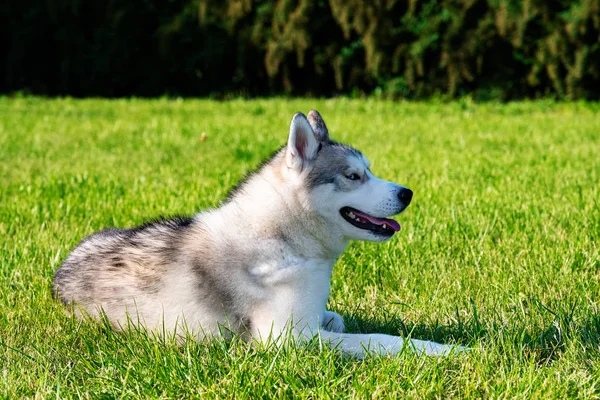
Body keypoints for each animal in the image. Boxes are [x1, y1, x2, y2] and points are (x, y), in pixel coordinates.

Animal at [55, 110, 460, 356]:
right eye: (353, 176)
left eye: (369, 171)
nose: (407, 193)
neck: (283, 238)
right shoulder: (287, 339)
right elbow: (380, 340)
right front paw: (445, 350)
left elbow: (338, 318)